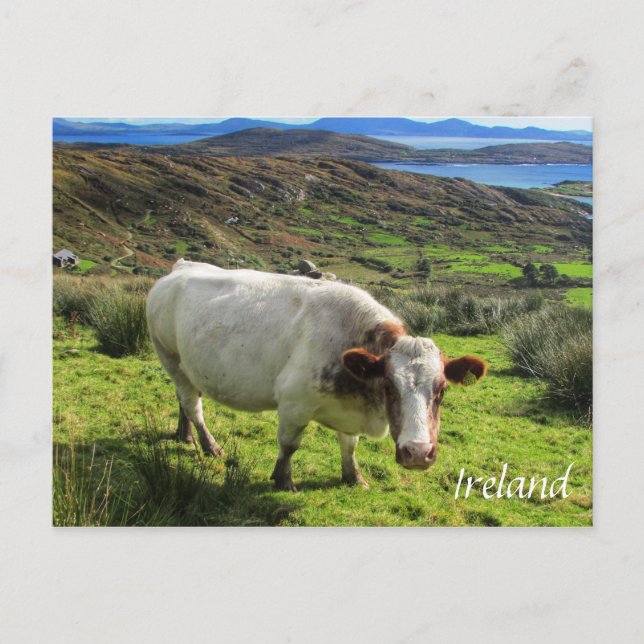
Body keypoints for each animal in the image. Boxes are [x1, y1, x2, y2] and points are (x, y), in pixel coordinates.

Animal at [146, 260, 487, 491]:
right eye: (389, 385)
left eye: (441, 390)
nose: (417, 453)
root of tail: (182, 266)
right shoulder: (293, 403)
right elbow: (289, 445)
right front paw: (283, 481)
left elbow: (349, 446)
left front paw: (354, 477)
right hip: (168, 355)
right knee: (193, 405)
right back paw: (209, 445)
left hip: (186, 366)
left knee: (184, 398)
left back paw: (184, 435)